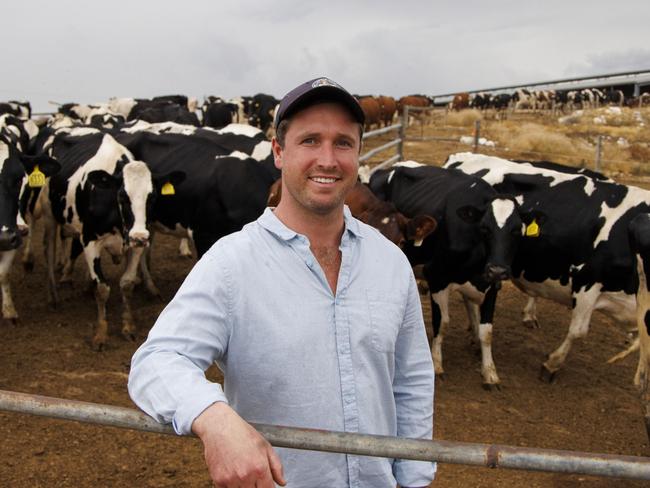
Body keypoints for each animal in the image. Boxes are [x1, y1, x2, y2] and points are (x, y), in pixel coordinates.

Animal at [368, 162, 524, 386]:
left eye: (517, 230)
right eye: (485, 228)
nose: (498, 269)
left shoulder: (492, 285)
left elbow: (487, 332)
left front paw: (490, 372)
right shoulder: (437, 278)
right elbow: (442, 323)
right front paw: (437, 364)